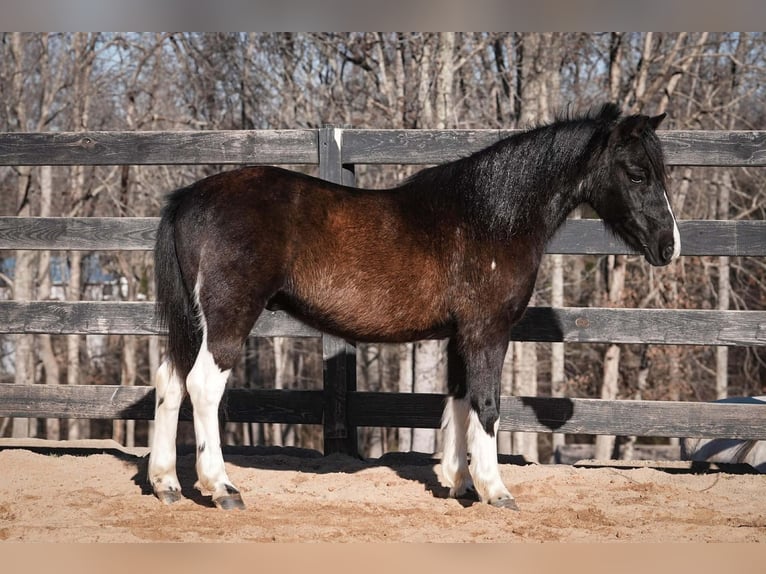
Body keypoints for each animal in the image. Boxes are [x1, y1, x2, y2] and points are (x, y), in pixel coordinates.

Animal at [148, 103, 681, 510]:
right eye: (637, 173)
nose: (670, 246)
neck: (490, 217)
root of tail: (190, 197)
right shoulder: (488, 330)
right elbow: (487, 404)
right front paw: (495, 491)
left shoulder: (461, 335)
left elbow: (460, 400)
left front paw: (459, 482)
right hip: (228, 317)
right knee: (202, 386)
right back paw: (222, 488)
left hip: (195, 323)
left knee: (170, 381)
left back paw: (166, 483)